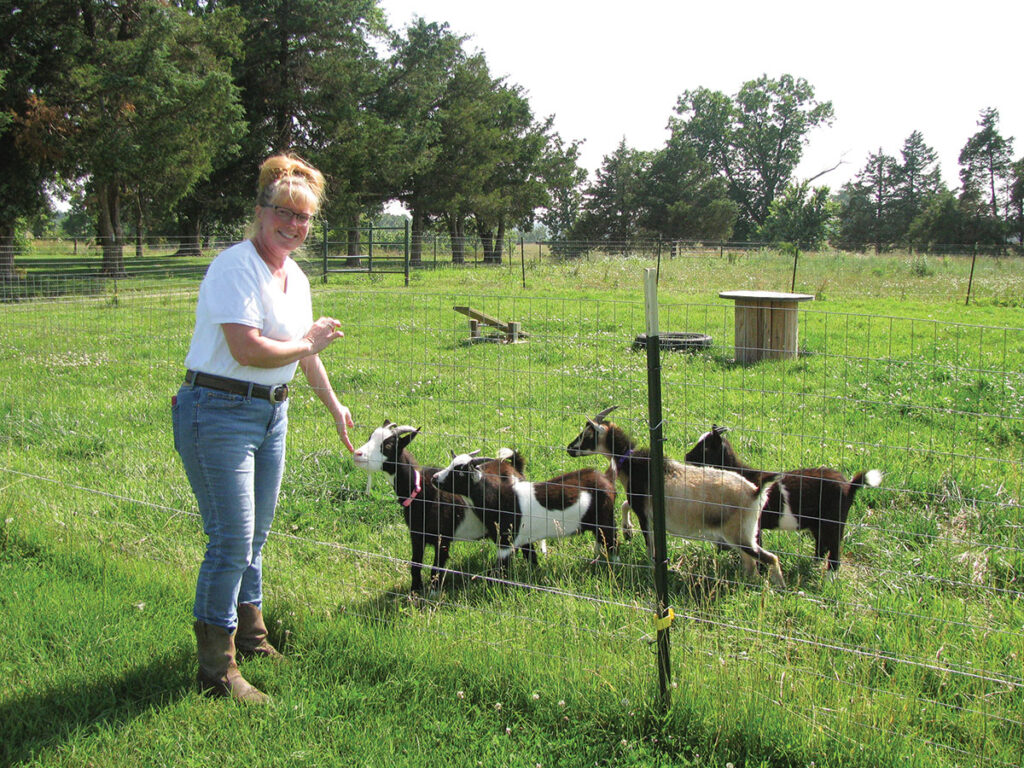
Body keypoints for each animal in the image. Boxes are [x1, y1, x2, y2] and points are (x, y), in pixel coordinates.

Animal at [354, 421, 536, 593]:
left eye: (388, 445)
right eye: (370, 437)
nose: (357, 454)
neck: (420, 491)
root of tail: (514, 468)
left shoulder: (443, 538)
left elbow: (436, 569)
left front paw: (433, 594)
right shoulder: (417, 535)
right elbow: (415, 565)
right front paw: (414, 592)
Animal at [430, 448, 614, 569]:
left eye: (460, 472)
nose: (435, 478)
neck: (499, 498)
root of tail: (604, 478)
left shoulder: (506, 541)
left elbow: (501, 570)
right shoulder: (523, 538)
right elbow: (531, 558)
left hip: (605, 523)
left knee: (612, 545)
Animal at [569, 409, 782, 589]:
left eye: (587, 435)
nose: (569, 449)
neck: (635, 463)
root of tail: (755, 491)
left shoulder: (644, 513)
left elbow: (650, 545)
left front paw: (650, 567)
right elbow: (624, 504)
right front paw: (628, 531)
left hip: (738, 534)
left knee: (770, 558)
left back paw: (777, 587)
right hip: (746, 533)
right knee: (752, 564)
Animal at [684, 428, 884, 573]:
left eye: (705, 448)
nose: (686, 457)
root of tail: (850, 486)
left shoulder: (753, 524)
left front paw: (760, 571)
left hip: (834, 522)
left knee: (834, 552)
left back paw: (829, 578)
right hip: (818, 523)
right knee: (821, 546)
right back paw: (813, 566)